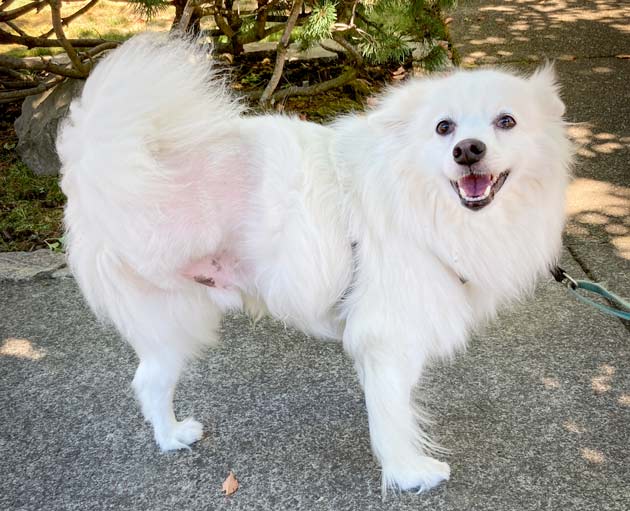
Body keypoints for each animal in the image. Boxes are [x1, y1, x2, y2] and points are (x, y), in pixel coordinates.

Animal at [56, 33, 576, 496]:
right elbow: (392, 413)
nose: (467, 149)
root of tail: (97, 167)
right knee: (149, 382)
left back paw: (170, 437)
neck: (421, 200)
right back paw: (171, 436)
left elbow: (387, 400)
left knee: (148, 380)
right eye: (443, 128)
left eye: (506, 121)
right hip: (174, 314)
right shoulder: (388, 333)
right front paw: (409, 472)